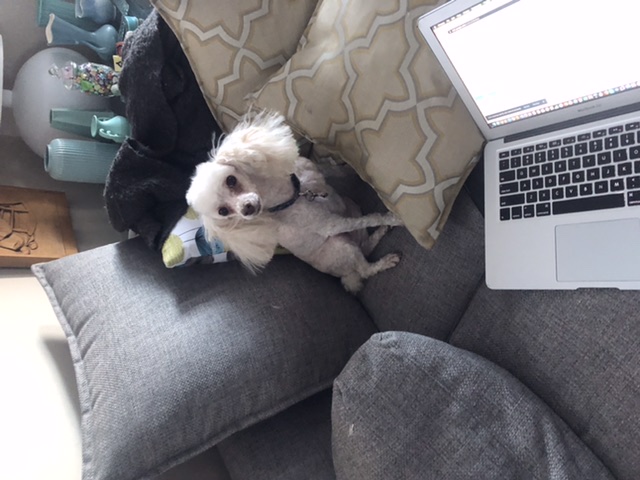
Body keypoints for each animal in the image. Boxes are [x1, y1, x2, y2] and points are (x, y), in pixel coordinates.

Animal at [186, 111, 403, 293]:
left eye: (230, 180)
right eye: (223, 211)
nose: (247, 209)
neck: (294, 194)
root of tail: (347, 275)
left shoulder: (320, 172)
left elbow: (337, 170)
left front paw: (354, 171)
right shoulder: (331, 225)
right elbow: (372, 217)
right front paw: (394, 219)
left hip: (352, 207)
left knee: (366, 244)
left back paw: (380, 235)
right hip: (343, 246)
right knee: (364, 268)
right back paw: (384, 262)